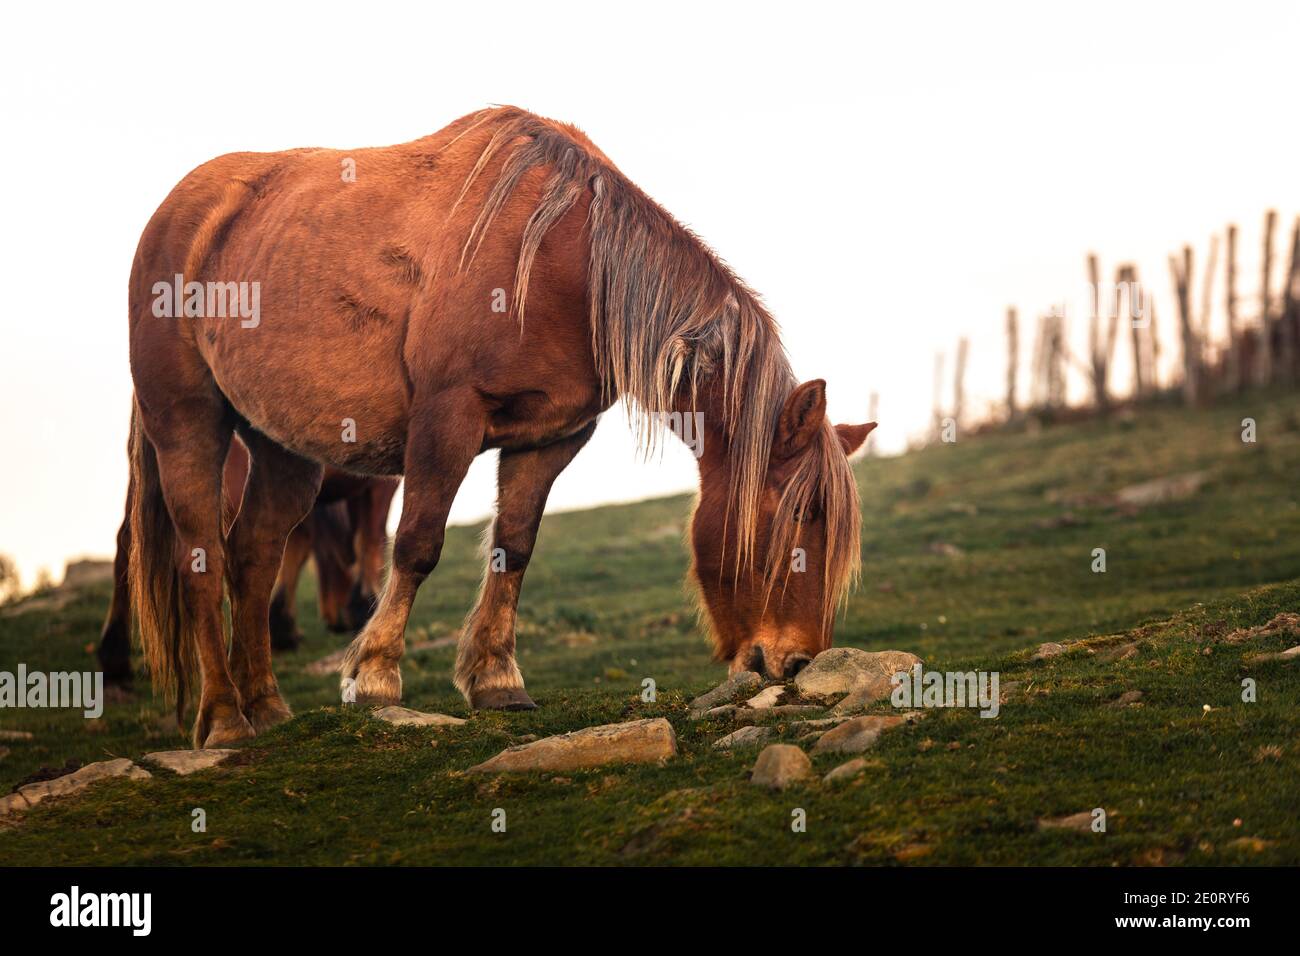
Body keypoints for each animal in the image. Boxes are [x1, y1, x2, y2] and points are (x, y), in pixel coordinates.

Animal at [98, 433, 398, 686]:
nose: (336, 620)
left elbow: (300, 544)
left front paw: (283, 625)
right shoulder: (378, 483)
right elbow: (369, 539)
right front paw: (363, 606)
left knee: (128, 542)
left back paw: (115, 655)